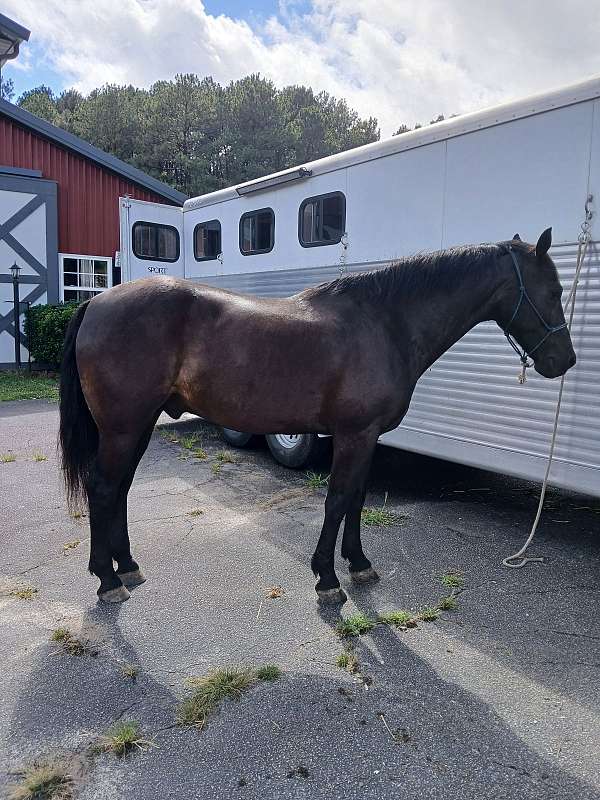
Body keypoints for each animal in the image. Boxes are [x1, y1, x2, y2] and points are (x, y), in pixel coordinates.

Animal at [59, 227, 576, 604]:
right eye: (552, 290)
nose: (564, 361)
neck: (385, 322)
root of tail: (96, 302)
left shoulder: (367, 437)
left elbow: (358, 499)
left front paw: (359, 565)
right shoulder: (354, 434)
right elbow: (338, 499)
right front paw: (327, 579)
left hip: (136, 426)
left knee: (119, 489)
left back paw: (127, 566)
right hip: (123, 427)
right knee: (103, 488)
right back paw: (107, 581)